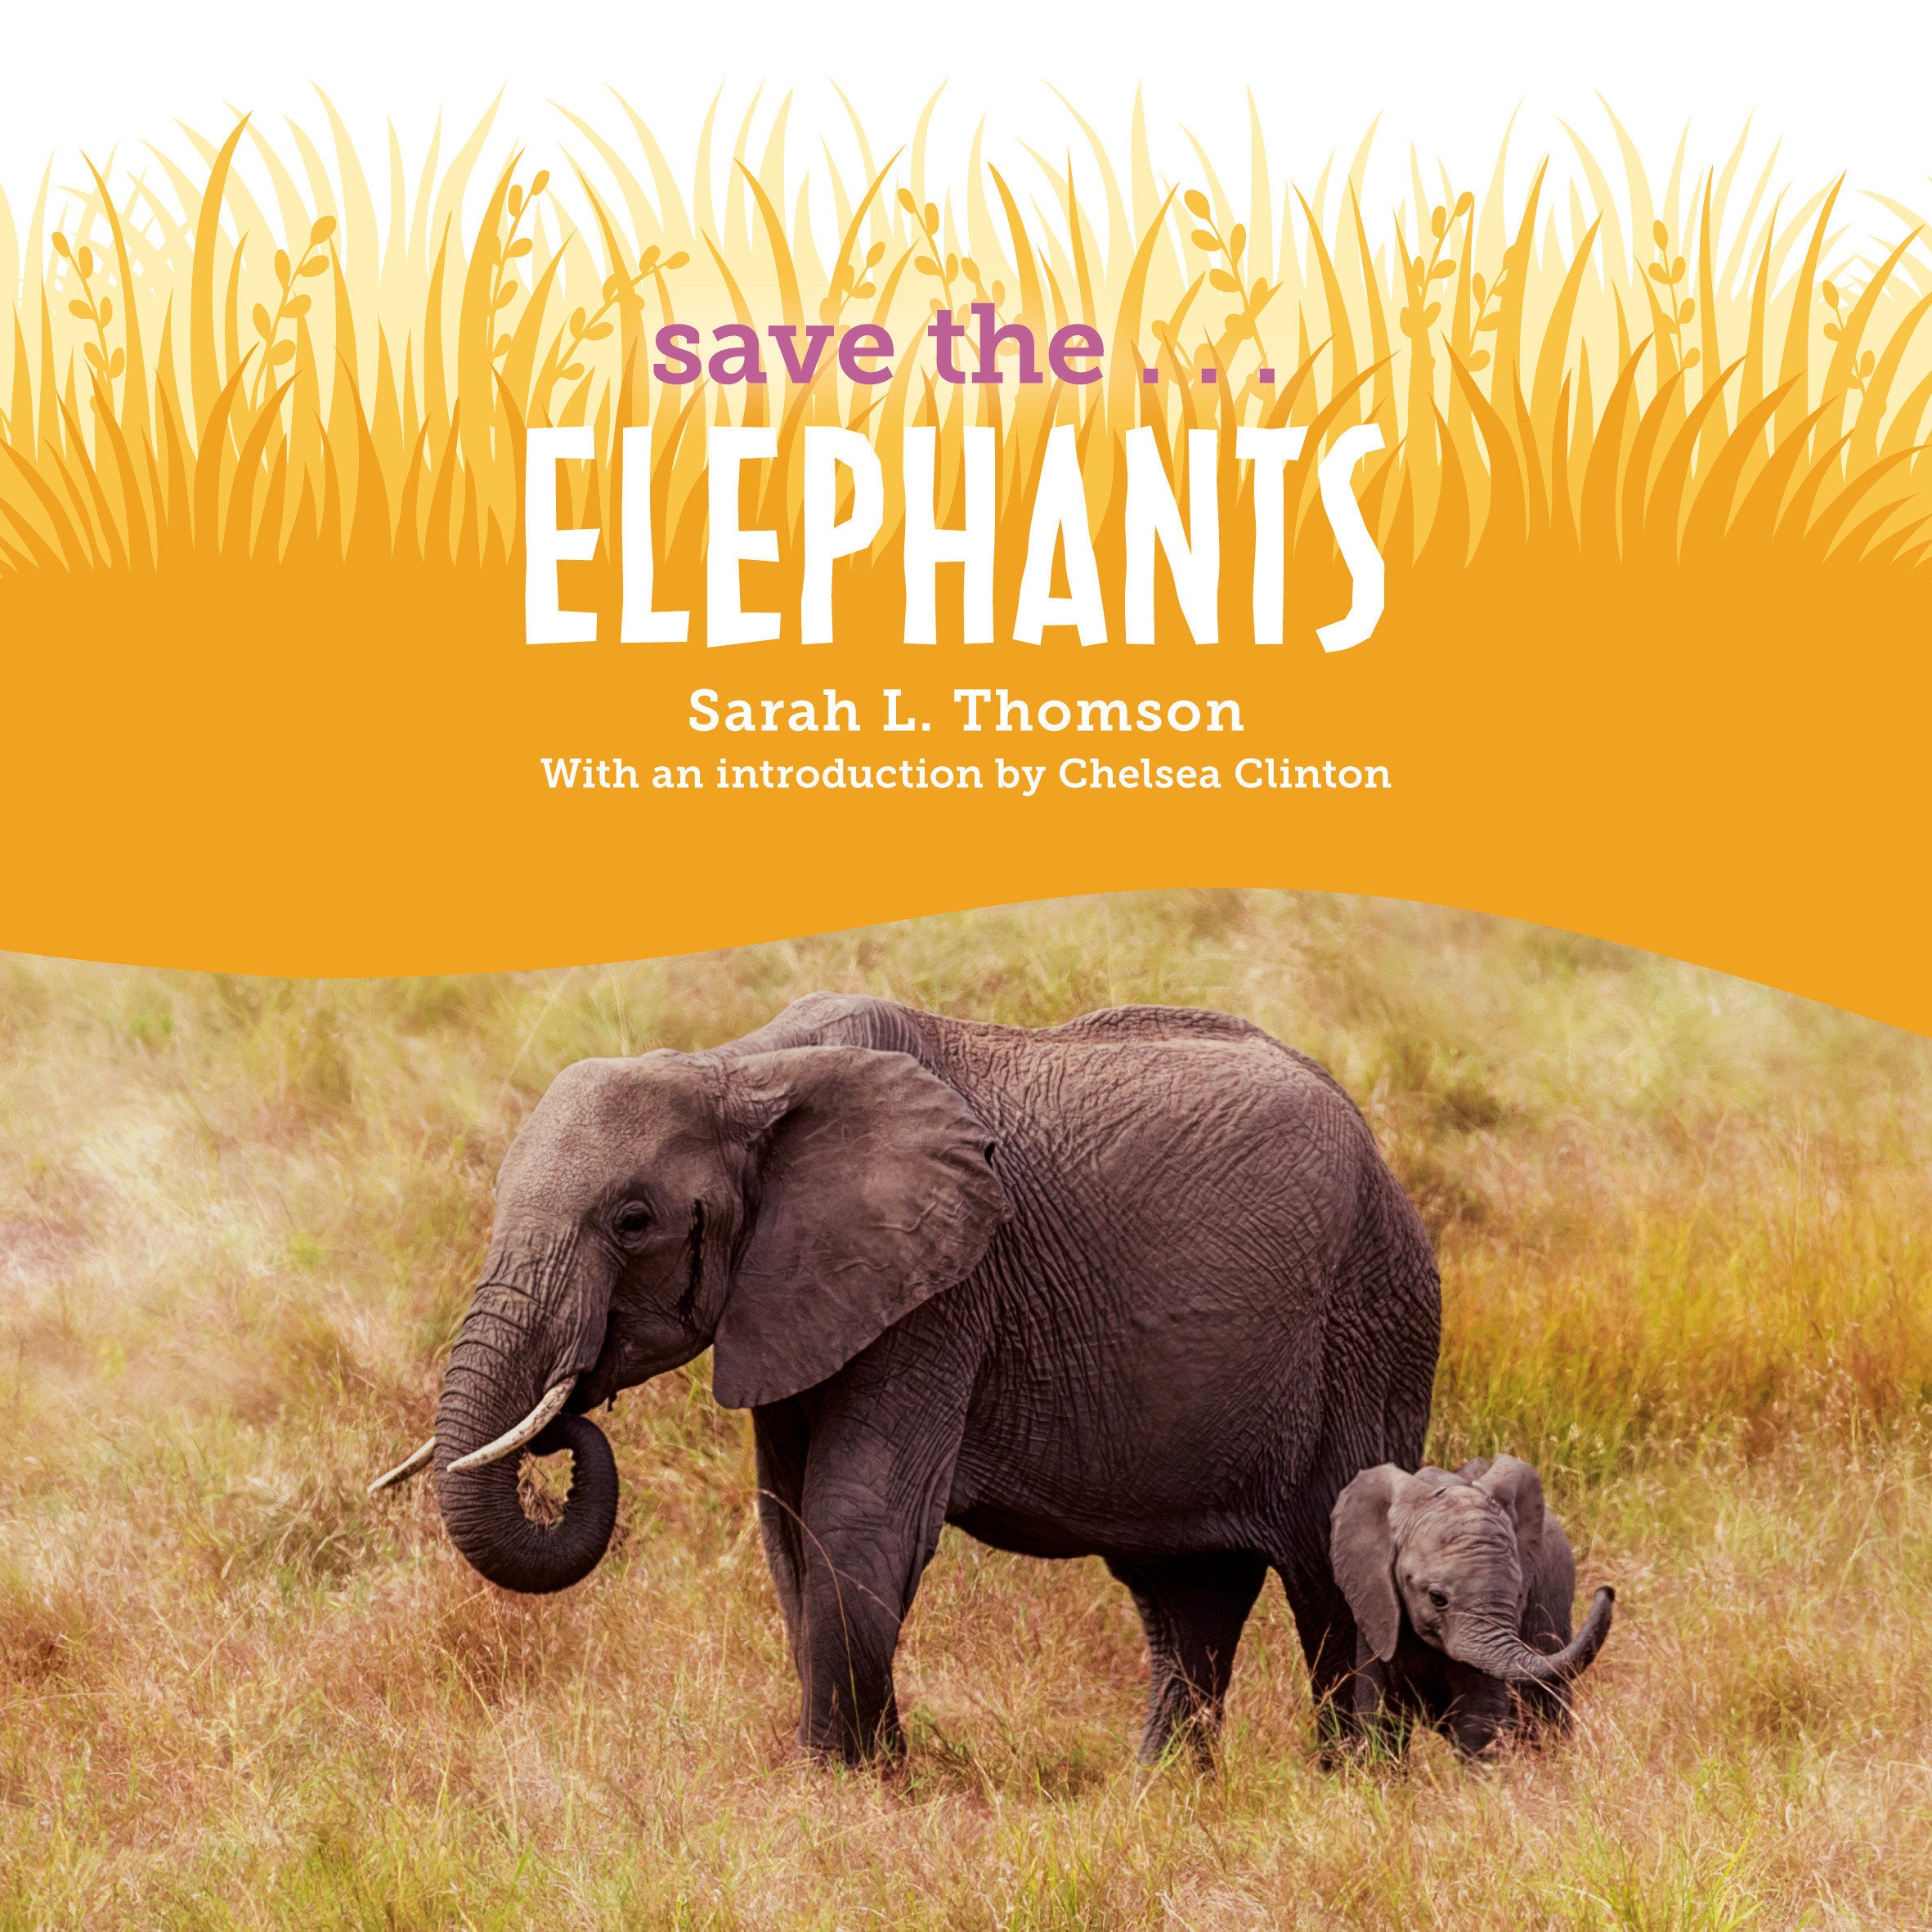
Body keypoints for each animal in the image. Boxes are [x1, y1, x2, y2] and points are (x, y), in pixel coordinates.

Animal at [369, 993, 1443, 1766]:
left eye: (632, 1221)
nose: (563, 1417)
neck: (742, 1067)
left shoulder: (940, 1291)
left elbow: (857, 1514)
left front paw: (841, 1784)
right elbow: (789, 1527)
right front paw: (858, 1776)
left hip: (1370, 1323)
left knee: (1332, 1575)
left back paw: (1352, 1786)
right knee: (1186, 1593)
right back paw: (1163, 1796)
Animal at [1329, 1454, 1614, 1759]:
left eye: (1519, 1596)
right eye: (1437, 1597)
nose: (1606, 1590)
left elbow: (1480, 1713)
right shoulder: (1374, 1602)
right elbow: (1378, 1714)